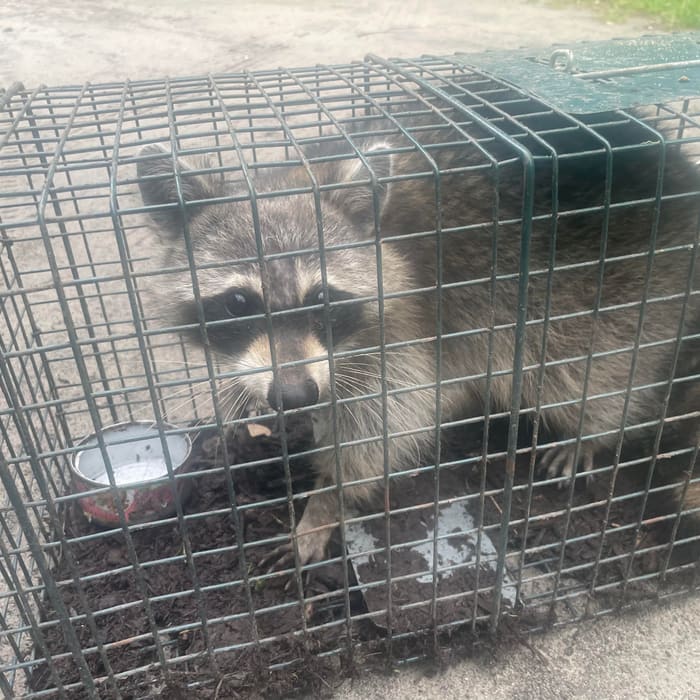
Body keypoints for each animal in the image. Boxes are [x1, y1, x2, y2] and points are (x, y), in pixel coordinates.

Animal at [137, 104, 700, 568]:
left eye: (320, 300)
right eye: (238, 303)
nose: (294, 395)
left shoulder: (406, 330)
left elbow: (387, 426)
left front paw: (327, 498)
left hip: (625, 287)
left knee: (593, 369)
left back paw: (591, 432)